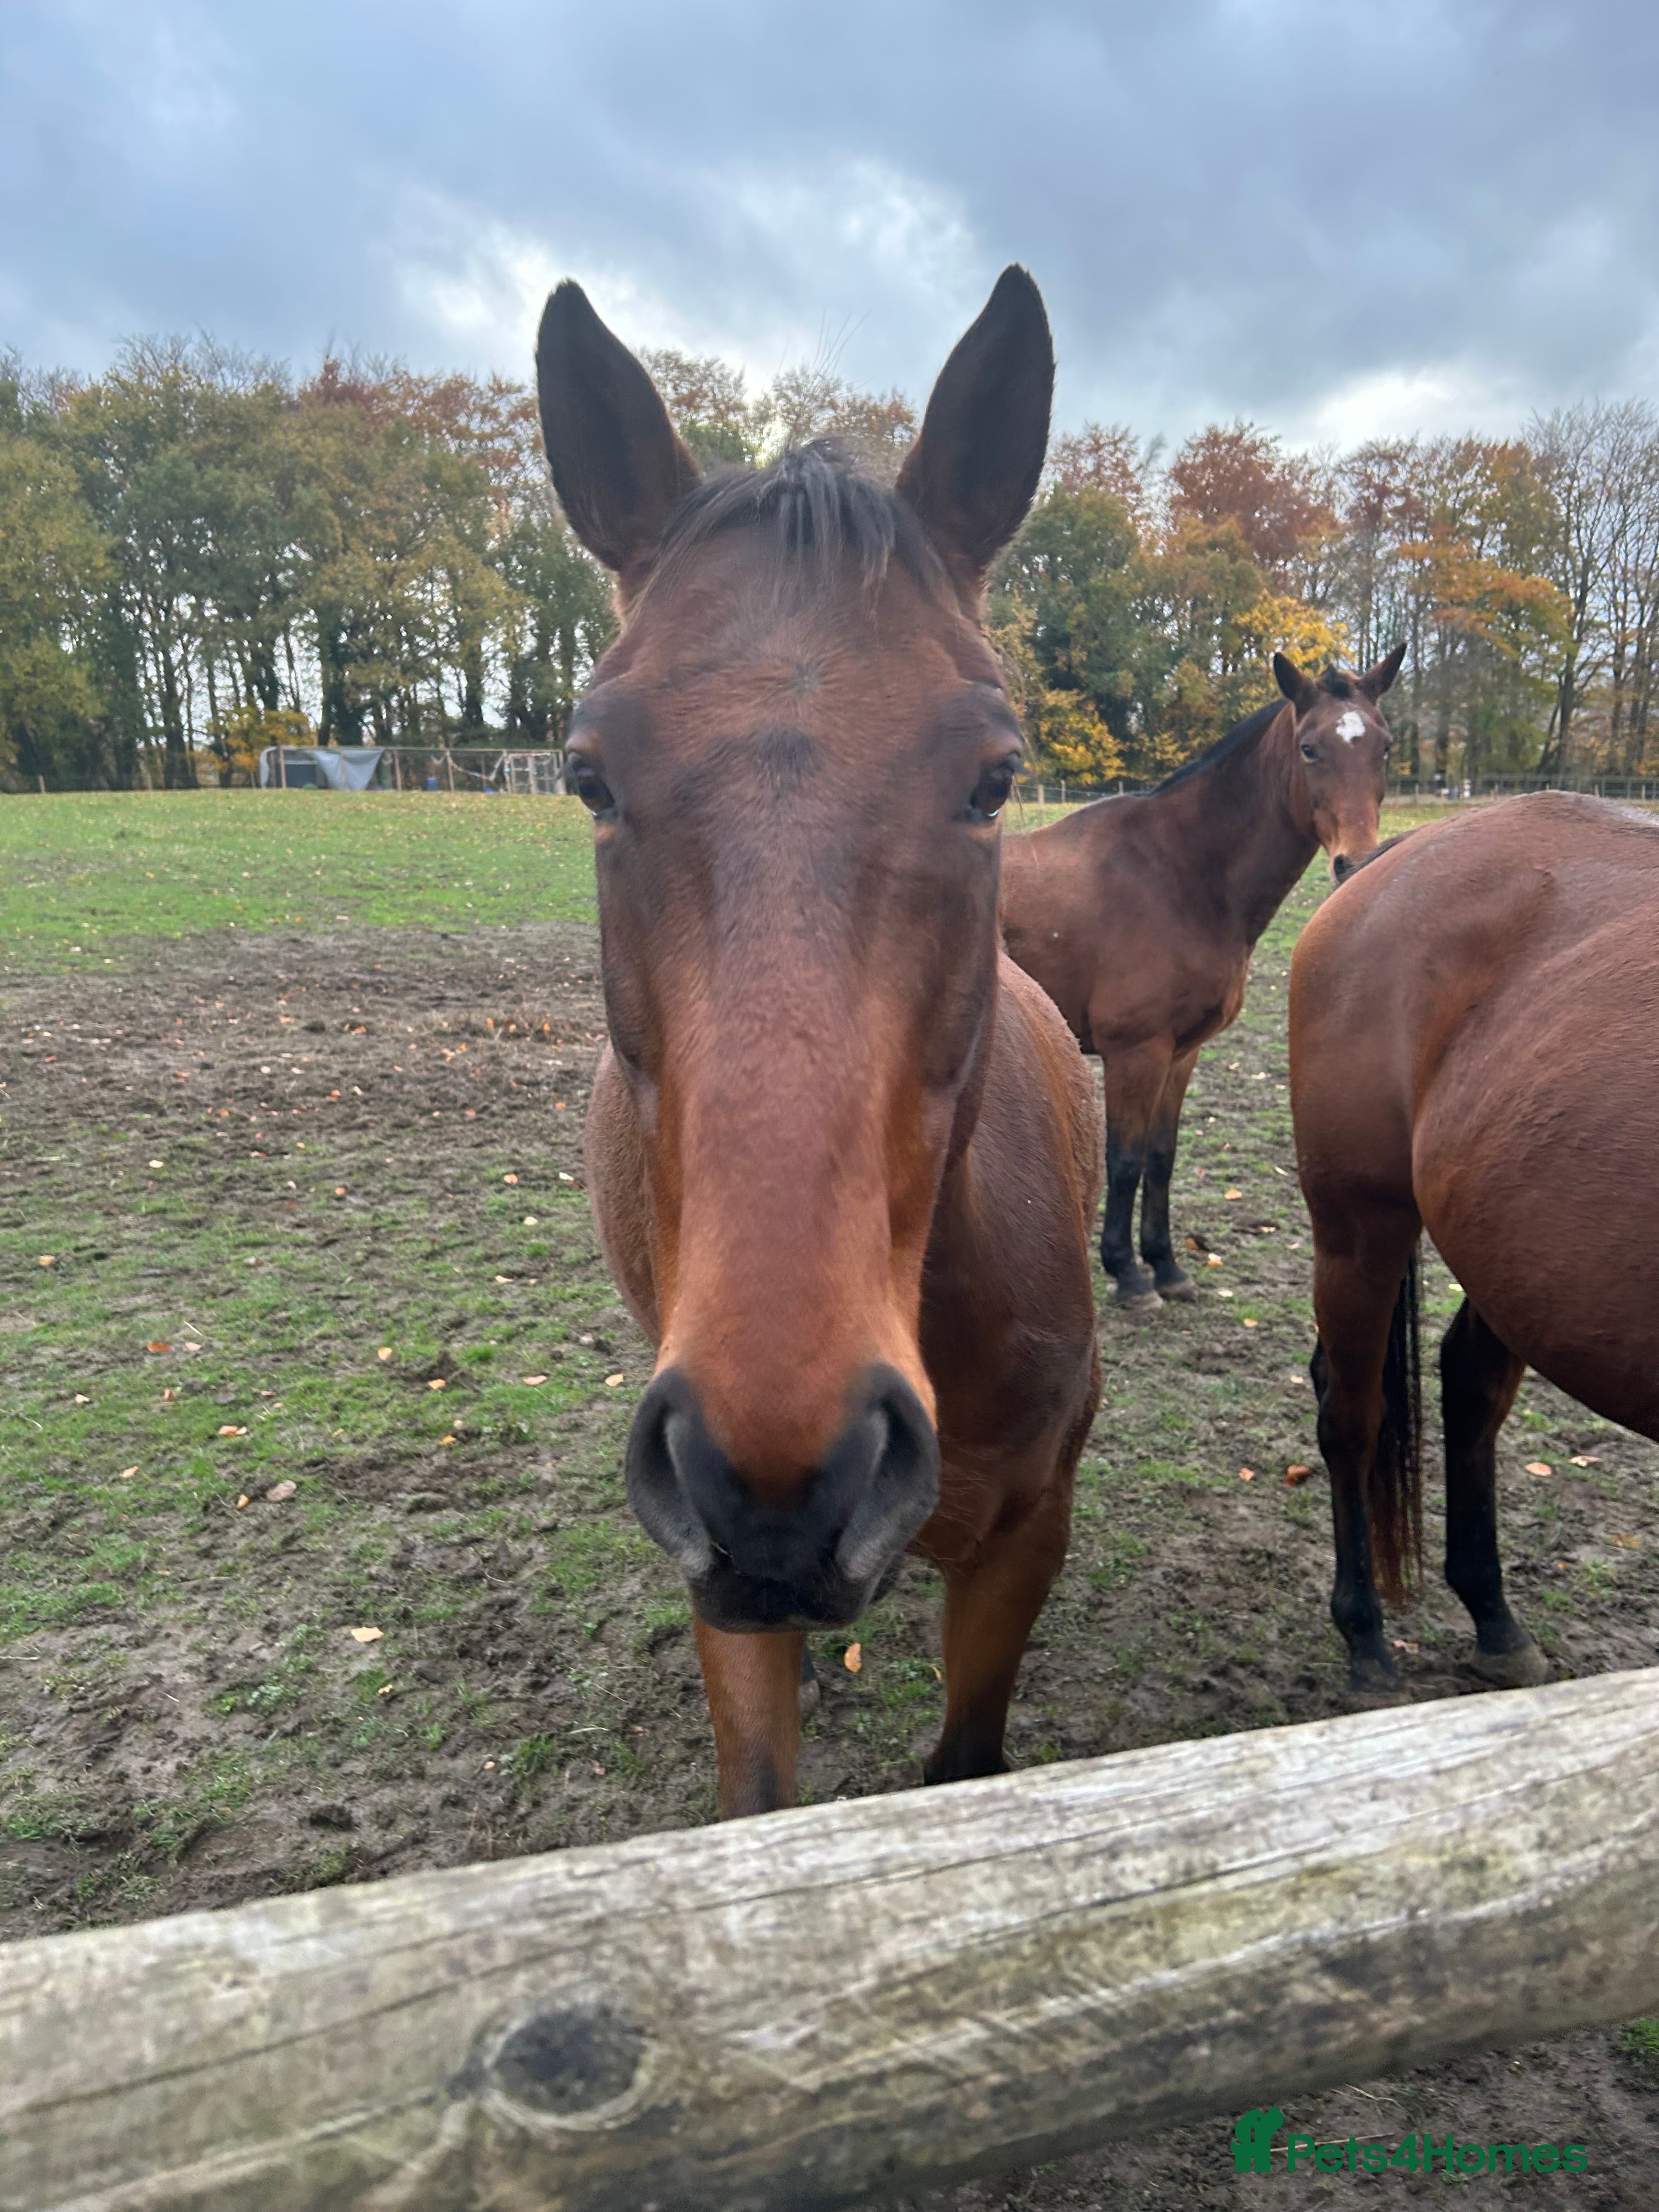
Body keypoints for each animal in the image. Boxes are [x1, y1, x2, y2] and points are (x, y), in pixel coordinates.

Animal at [1000, 649, 1404, 1311]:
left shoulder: (1181, 1052)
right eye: (1310, 748)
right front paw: (1129, 1275)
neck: (1180, 873)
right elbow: (1126, 1159)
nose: (1358, 862)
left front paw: (1165, 1265)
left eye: (1386, 747)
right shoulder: (1134, 1052)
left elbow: (1161, 1158)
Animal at [1289, 791, 1659, 1694]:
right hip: (1359, 1228)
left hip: (1518, 1263)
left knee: (1469, 1386)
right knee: (1350, 1415)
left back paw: (1493, 1617)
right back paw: (1366, 1639)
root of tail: (1389, 859)